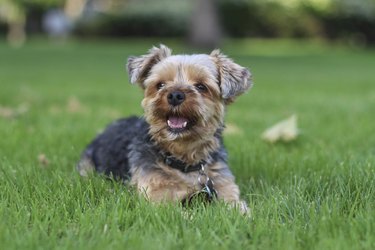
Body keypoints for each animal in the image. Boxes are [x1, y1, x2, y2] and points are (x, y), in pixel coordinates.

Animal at [77, 44, 253, 213]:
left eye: (201, 86)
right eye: (160, 85)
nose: (175, 95)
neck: (184, 159)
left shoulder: (222, 186)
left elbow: (237, 208)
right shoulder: (157, 197)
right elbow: (179, 214)